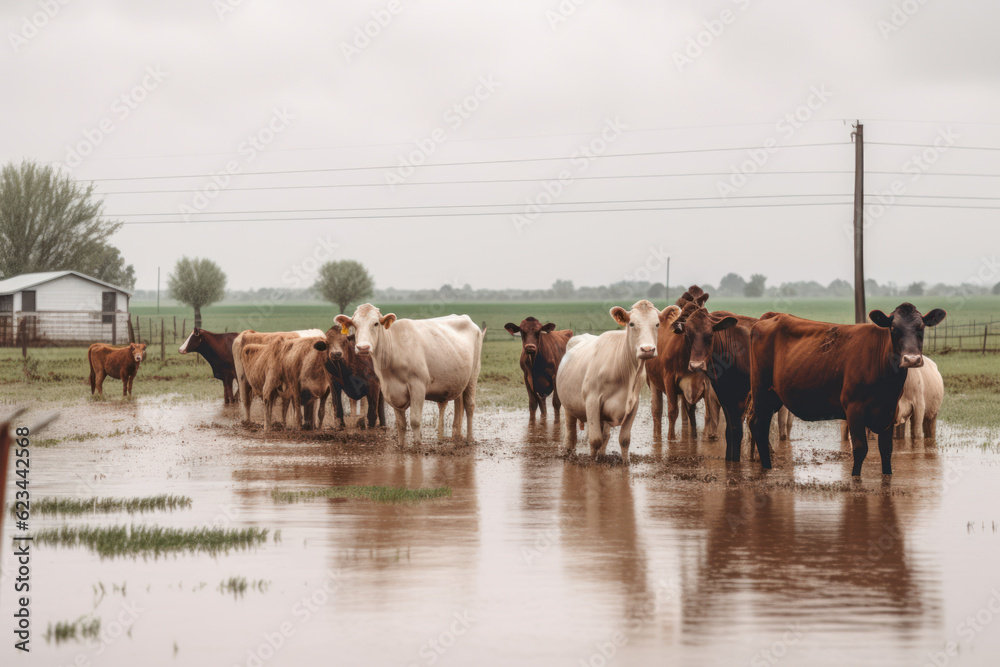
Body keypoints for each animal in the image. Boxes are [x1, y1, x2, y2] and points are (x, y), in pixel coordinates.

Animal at [335, 305, 485, 447]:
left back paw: (469, 439)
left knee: (469, 405)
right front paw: (401, 446)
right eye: (355, 325)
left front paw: (417, 447)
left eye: (376, 323)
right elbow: (401, 424)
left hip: (473, 374)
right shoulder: (390, 390)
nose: (363, 347)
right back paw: (456, 437)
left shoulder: (418, 386)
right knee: (459, 405)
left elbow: (415, 421)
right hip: (458, 379)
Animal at [558, 300, 681, 463]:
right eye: (632, 324)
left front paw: (625, 462)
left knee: (605, 435)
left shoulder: (633, 404)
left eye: (657, 324)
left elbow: (624, 439)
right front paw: (592, 463)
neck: (625, 373)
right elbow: (595, 440)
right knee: (571, 435)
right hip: (569, 407)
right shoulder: (592, 401)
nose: (647, 349)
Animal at [646, 286, 720, 440]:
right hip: (653, 381)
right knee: (656, 412)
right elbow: (672, 412)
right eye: (685, 311)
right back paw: (657, 436)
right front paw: (671, 438)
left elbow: (707, 414)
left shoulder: (705, 384)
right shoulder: (669, 380)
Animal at [748, 303, 946, 476]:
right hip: (762, 392)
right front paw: (855, 478)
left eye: (921, 328)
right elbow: (859, 449)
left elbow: (886, 451)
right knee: (759, 427)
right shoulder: (854, 408)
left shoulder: (889, 412)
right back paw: (766, 468)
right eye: (893, 329)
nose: (911, 359)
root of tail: (773, 316)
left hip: (773, 397)